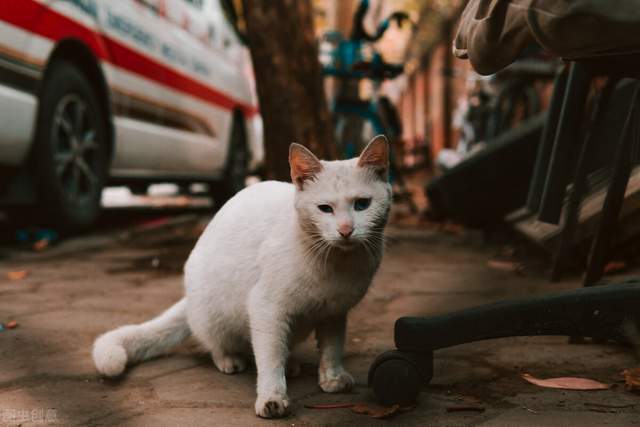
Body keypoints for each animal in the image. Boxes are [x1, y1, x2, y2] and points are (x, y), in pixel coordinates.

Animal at [92, 136, 392, 418]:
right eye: (325, 209)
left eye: (362, 204)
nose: (346, 230)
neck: (338, 263)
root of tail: (188, 297)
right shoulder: (266, 307)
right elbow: (269, 359)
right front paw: (272, 398)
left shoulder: (333, 312)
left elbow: (331, 348)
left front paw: (332, 378)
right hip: (218, 313)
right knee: (223, 343)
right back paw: (230, 360)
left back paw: (290, 364)